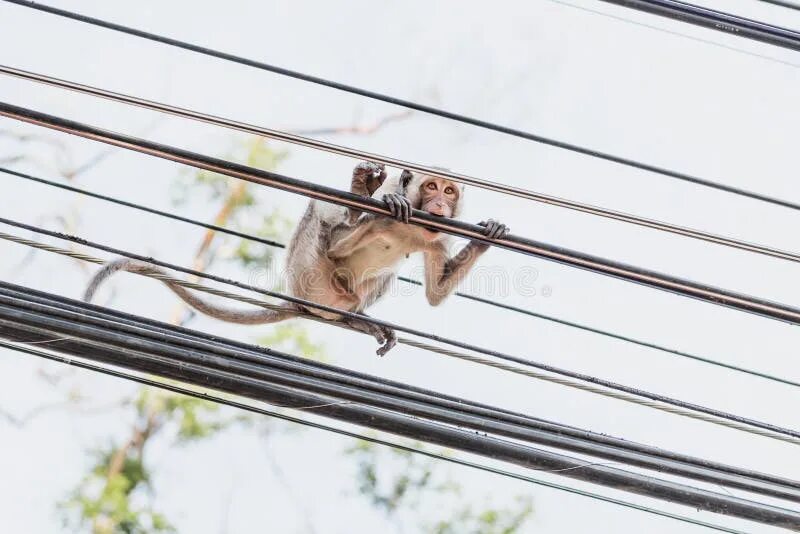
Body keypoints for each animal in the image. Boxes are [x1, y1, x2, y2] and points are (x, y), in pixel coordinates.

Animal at [84, 161, 510, 358]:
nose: (440, 204)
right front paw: (376, 203)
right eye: (431, 186)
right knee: (324, 226)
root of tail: (300, 300)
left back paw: (357, 319)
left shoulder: (439, 238)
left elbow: (436, 293)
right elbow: (339, 235)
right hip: (306, 270)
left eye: (450, 191)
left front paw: (489, 234)